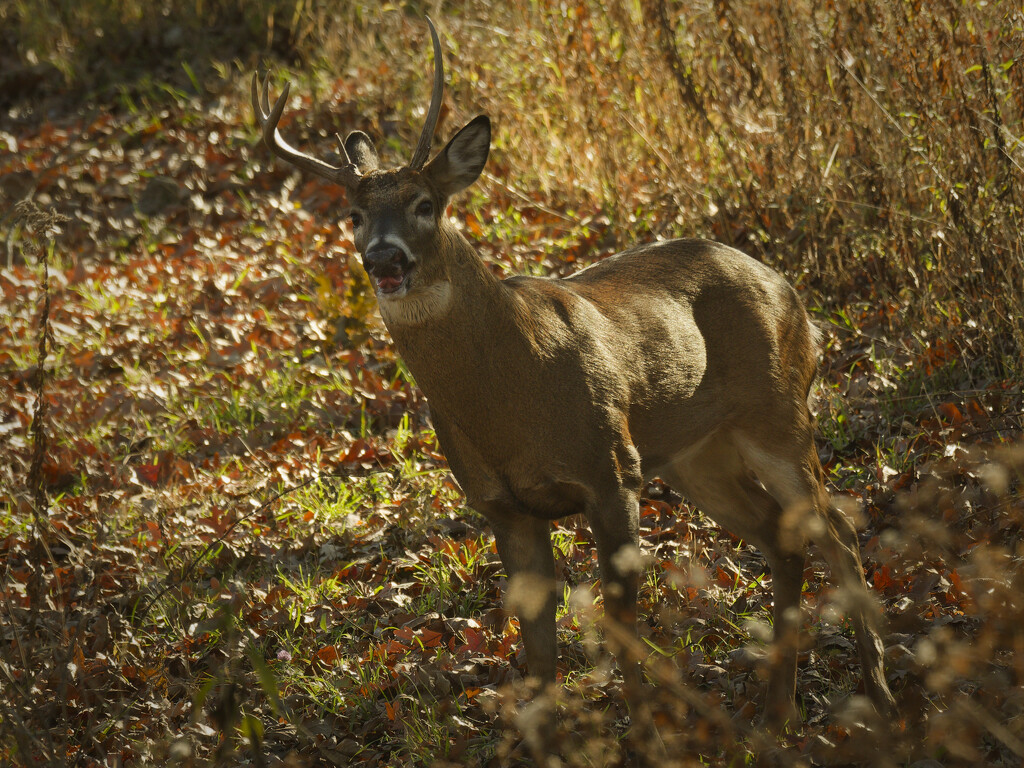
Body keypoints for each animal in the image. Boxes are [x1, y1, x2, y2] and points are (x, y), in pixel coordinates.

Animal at [253, 19, 897, 729]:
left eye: (425, 204)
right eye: (354, 215)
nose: (384, 258)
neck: (512, 394)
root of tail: (793, 296)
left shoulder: (611, 470)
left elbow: (619, 622)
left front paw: (645, 729)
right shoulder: (503, 505)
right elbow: (539, 650)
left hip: (778, 414)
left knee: (837, 530)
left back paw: (881, 695)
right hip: (697, 454)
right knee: (782, 538)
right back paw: (776, 711)